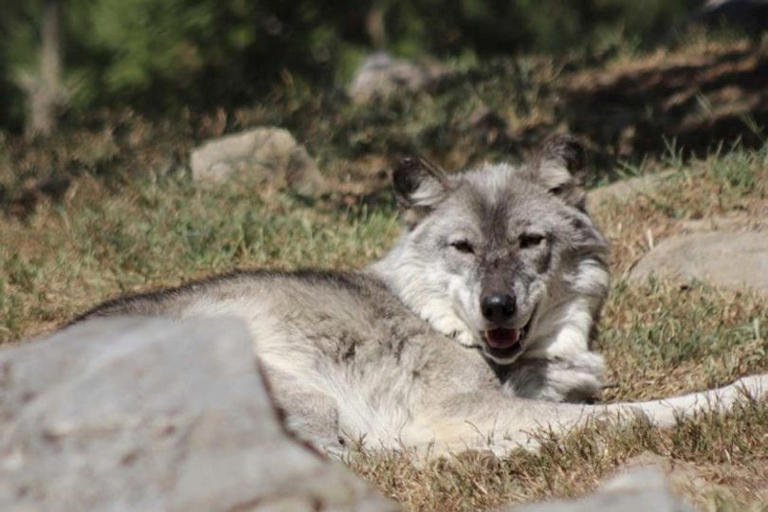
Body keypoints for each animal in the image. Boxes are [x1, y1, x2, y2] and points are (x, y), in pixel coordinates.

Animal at [74, 135, 768, 457]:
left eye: (529, 241)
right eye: (463, 247)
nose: (497, 308)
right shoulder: (464, 410)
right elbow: (632, 414)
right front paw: (746, 390)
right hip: (304, 397)